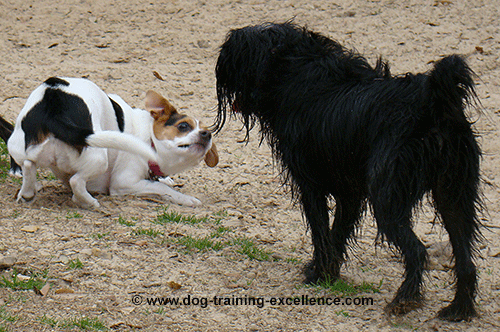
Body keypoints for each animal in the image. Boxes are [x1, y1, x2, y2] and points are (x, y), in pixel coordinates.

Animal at [5, 76, 217, 209]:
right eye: (184, 126)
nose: (207, 134)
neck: (148, 137)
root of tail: (54, 101)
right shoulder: (124, 183)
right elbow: (162, 188)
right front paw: (186, 199)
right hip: (100, 158)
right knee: (76, 181)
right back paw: (89, 203)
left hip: (17, 146)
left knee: (28, 165)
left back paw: (28, 193)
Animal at [213, 22, 482, 322]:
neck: (290, 68)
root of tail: (433, 102)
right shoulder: (350, 192)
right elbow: (338, 232)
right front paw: (328, 273)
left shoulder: (311, 186)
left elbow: (321, 231)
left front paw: (319, 274)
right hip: (454, 196)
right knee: (465, 259)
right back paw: (459, 307)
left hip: (388, 200)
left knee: (417, 250)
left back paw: (404, 299)